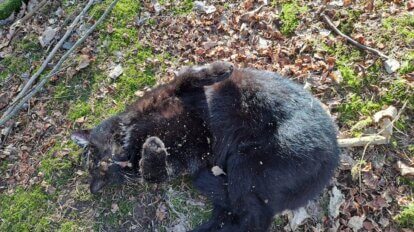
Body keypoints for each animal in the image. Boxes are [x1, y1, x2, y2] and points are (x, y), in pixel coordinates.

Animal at [72, 61, 340, 232]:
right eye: (103, 169)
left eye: (99, 156)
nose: (119, 160)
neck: (135, 135)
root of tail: (334, 156)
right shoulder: (180, 162)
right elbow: (152, 172)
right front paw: (153, 149)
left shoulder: (172, 91)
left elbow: (189, 74)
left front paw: (221, 68)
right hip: (247, 165)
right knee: (248, 217)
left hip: (252, 162)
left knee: (245, 214)